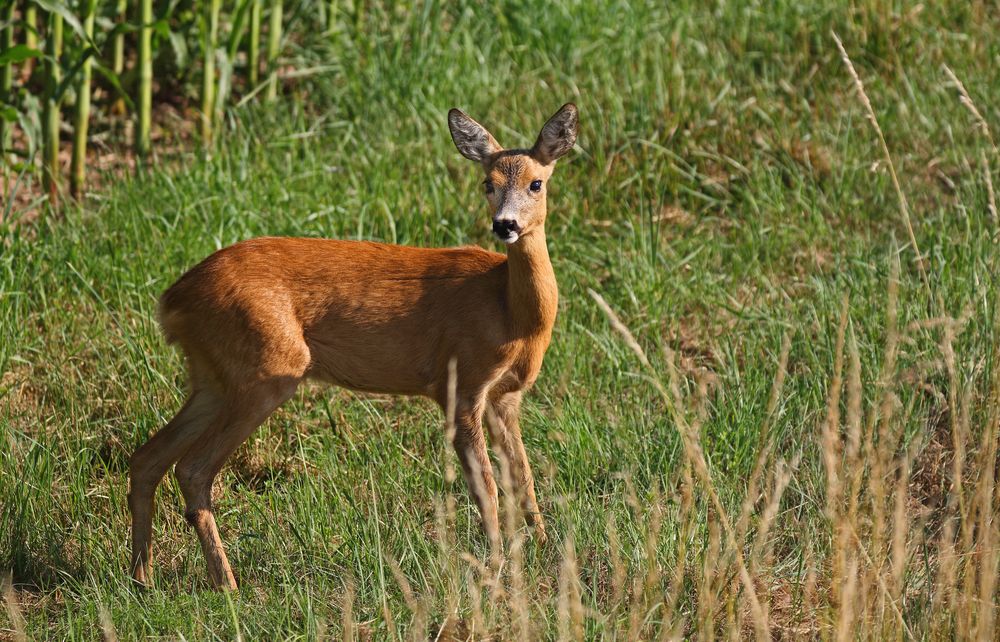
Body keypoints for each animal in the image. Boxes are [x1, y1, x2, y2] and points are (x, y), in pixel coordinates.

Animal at [127, 102, 580, 588]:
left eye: (536, 183)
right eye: (487, 183)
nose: (505, 225)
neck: (510, 312)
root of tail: (172, 301)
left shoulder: (505, 396)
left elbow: (524, 477)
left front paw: (546, 549)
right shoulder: (460, 382)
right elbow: (488, 487)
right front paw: (497, 567)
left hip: (213, 377)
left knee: (146, 458)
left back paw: (142, 579)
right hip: (266, 368)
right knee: (192, 469)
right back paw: (226, 584)